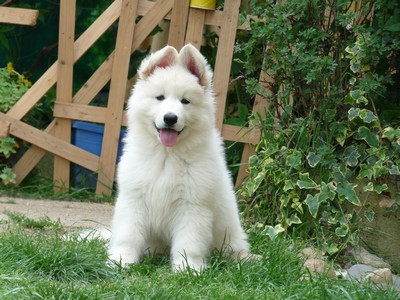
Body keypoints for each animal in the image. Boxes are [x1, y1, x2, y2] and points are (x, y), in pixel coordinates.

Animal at [108, 44, 252, 272]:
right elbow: (128, 235)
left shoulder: (193, 207)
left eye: (185, 101)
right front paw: (122, 260)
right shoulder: (134, 199)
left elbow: (188, 242)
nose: (170, 118)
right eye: (160, 97)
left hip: (230, 233)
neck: (167, 155)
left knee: (235, 248)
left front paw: (188, 268)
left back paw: (246, 259)